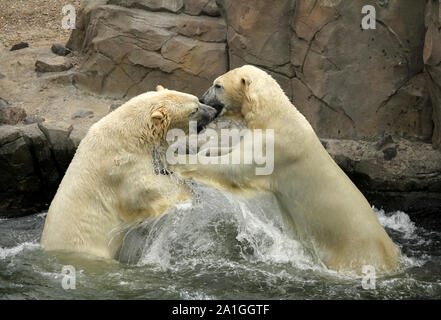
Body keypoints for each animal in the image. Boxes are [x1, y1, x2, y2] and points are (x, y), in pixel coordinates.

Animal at [40, 88, 217, 260]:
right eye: (194, 110)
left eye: (198, 100)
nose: (214, 111)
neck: (132, 134)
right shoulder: (121, 166)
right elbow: (144, 190)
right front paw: (186, 197)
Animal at [171, 65, 398, 272]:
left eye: (218, 85)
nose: (202, 98)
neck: (275, 116)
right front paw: (196, 147)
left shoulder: (274, 147)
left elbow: (234, 168)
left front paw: (176, 159)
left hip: (353, 251)